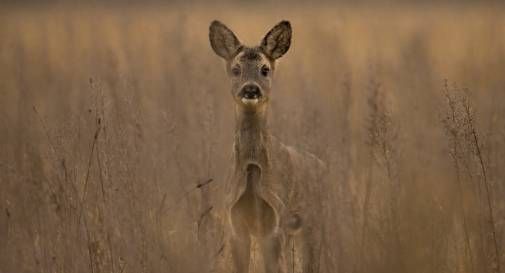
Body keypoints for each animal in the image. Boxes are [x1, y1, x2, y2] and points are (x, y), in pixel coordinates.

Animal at [209, 19, 326, 272]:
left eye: (265, 69)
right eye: (236, 69)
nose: (251, 89)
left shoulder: (275, 221)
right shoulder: (234, 221)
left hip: (316, 219)